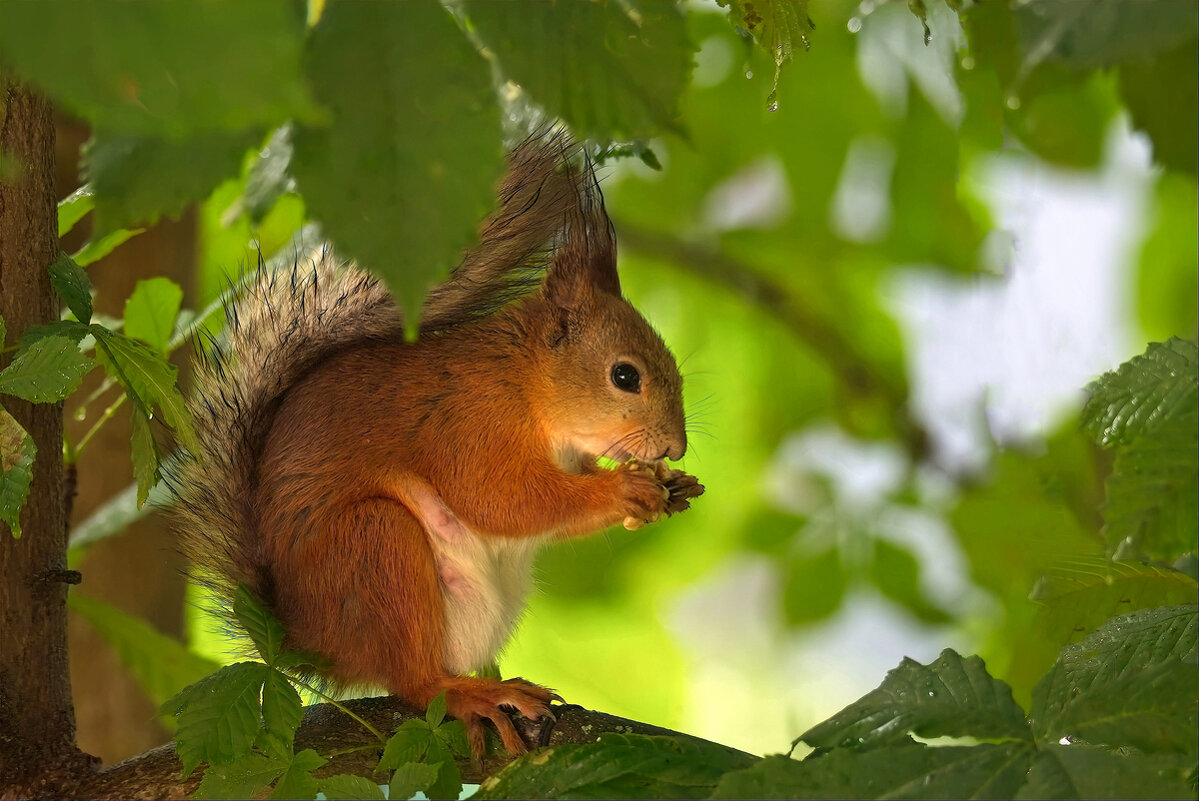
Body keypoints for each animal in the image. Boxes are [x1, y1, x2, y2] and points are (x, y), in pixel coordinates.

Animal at [173, 131, 705, 757]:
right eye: (625, 376)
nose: (676, 448)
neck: (525, 380)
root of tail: (310, 642)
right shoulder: (467, 425)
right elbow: (499, 500)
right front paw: (622, 491)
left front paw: (674, 487)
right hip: (376, 548)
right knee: (415, 682)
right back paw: (466, 694)